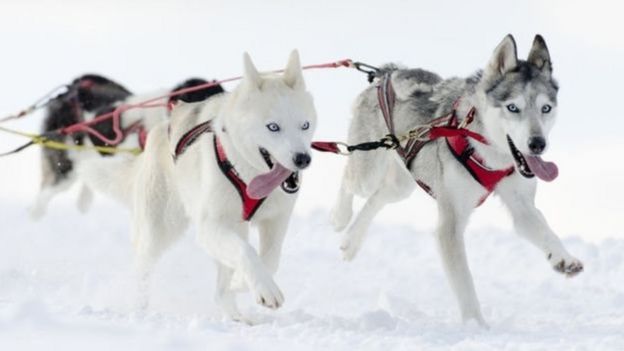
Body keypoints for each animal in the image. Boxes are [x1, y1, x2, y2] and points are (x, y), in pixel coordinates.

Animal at [100, 51, 316, 324]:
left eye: (305, 125)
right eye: (273, 127)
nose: (303, 159)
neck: (248, 173)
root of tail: (162, 127)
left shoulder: (276, 221)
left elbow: (270, 259)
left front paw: (242, 282)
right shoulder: (210, 225)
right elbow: (246, 252)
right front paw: (264, 288)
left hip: (233, 227)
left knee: (221, 289)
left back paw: (235, 314)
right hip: (159, 229)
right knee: (143, 269)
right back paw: (139, 309)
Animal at [332, 34, 584, 326]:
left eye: (546, 108)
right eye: (513, 107)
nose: (537, 144)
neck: (487, 150)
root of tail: (386, 73)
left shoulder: (521, 206)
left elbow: (545, 231)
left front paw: (563, 258)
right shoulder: (450, 224)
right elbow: (464, 281)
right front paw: (475, 325)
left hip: (402, 185)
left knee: (378, 197)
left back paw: (351, 241)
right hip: (367, 171)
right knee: (349, 179)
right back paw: (340, 218)